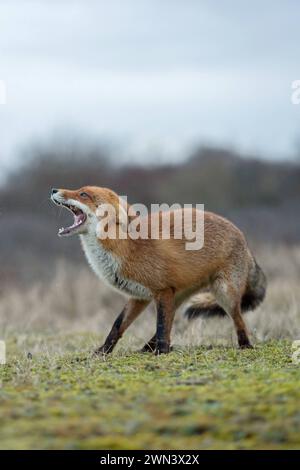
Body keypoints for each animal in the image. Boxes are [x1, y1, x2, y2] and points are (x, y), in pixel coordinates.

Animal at [50, 185, 266, 354]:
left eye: (83, 194)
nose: (53, 190)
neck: (125, 247)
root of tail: (243, 237)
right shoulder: (140, 296)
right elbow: (118, 326)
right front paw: (103, 351)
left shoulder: (161, 290)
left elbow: (161, 325)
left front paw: (161, 352)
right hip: (178, 295)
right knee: (171, 321)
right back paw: (148, 348)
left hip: (224, 293)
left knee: (239, 319)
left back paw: (245, 345)